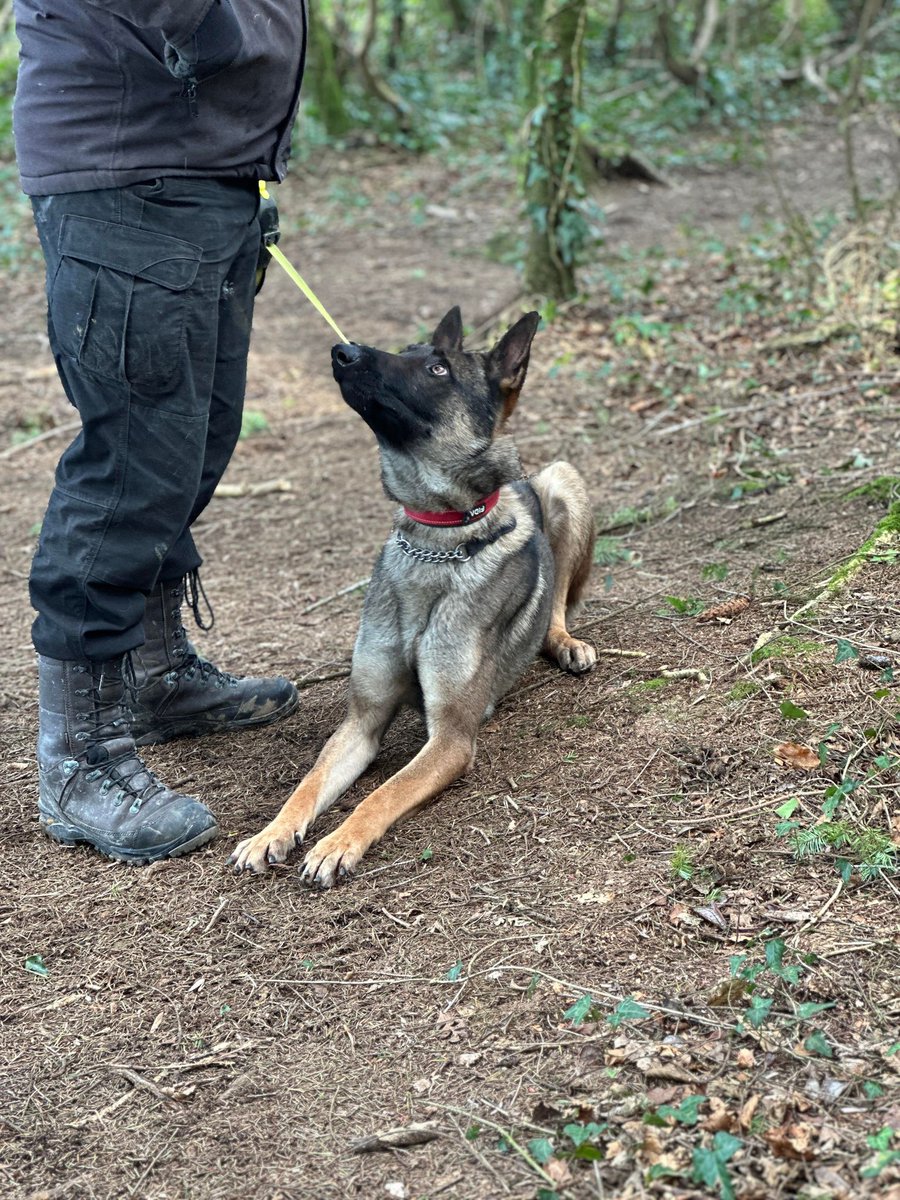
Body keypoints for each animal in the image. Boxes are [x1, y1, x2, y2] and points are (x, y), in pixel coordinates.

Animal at [230, 309, 600, 888]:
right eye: (407, 351)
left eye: (437, 368)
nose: (343, 351)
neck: (436, 544)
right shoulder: (361, 722)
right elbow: (309, 783)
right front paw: (272, 832)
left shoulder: (451, 738)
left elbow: (383, 793)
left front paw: (337, 843)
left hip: (562, 480)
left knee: (557, 599)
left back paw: (564, 642)